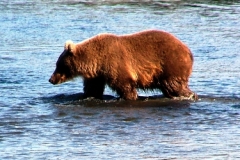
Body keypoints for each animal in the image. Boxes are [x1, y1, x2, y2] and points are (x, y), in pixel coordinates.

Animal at [48, 29, 197, 100]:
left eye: (58, 65)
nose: (51, 79)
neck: (95, 61)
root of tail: (188, 50)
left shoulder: (115, 62)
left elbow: (124, 84)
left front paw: (129, 97)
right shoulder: (97, 75)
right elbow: (93, 89)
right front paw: (86, 96)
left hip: (170, 64)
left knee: (174, 85)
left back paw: (190, 95)